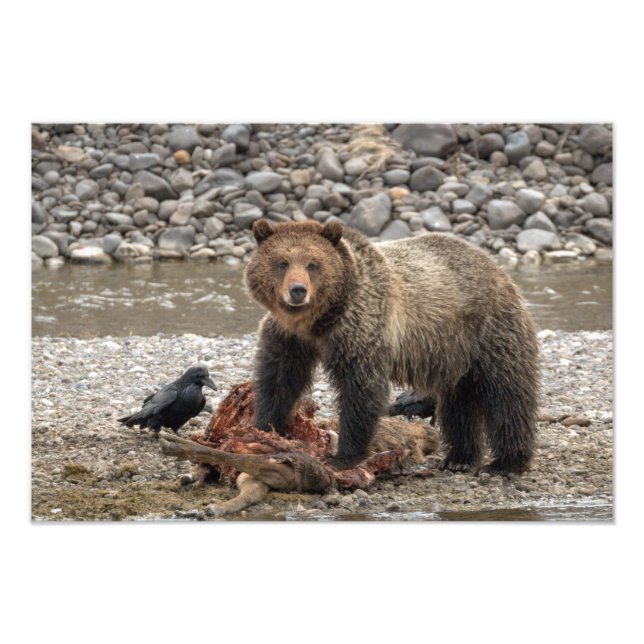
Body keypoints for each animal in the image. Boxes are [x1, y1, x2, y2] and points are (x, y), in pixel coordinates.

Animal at [244, 218, 540, 473]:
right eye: (282, 262)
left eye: (313, 264)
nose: (298, 291)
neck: (317, 322)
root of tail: (496, 268)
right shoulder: (288, 337)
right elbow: (278, 380)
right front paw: (262, 428)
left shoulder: (362, 326)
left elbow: (361, 389)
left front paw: (344, 455)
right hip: (454, 353)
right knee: (459, 404)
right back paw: (459, 458)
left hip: (489, 332)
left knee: (507, 394)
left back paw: (507, 462)